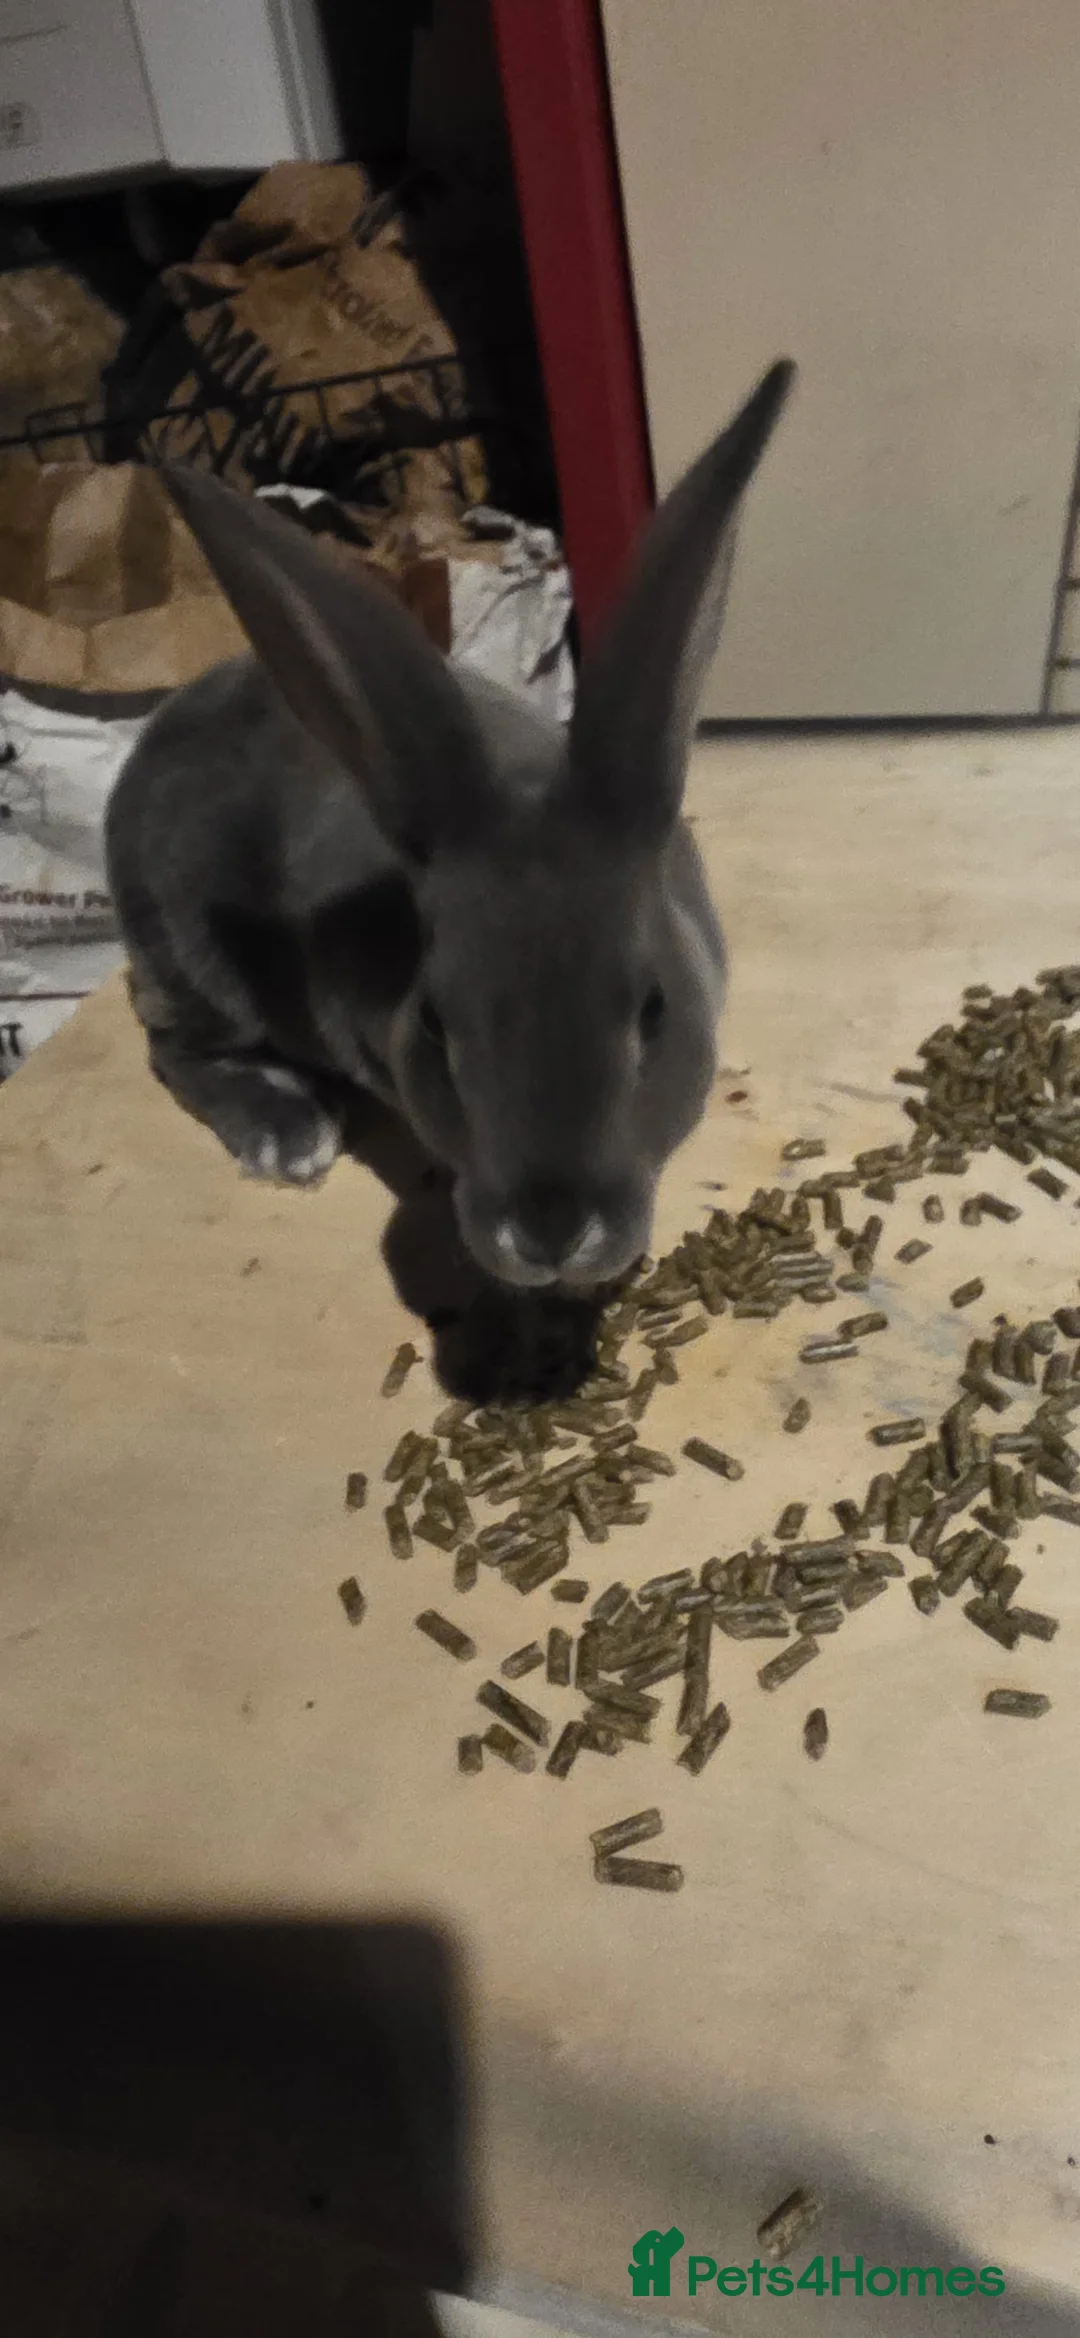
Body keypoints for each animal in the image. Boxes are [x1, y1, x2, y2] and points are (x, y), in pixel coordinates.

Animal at [105, 360, 794, 1308]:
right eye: (435, 1021)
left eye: (653, 1009)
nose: (549, 1233)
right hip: (193, 966)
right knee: (174, 1048)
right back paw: (288, 1134)